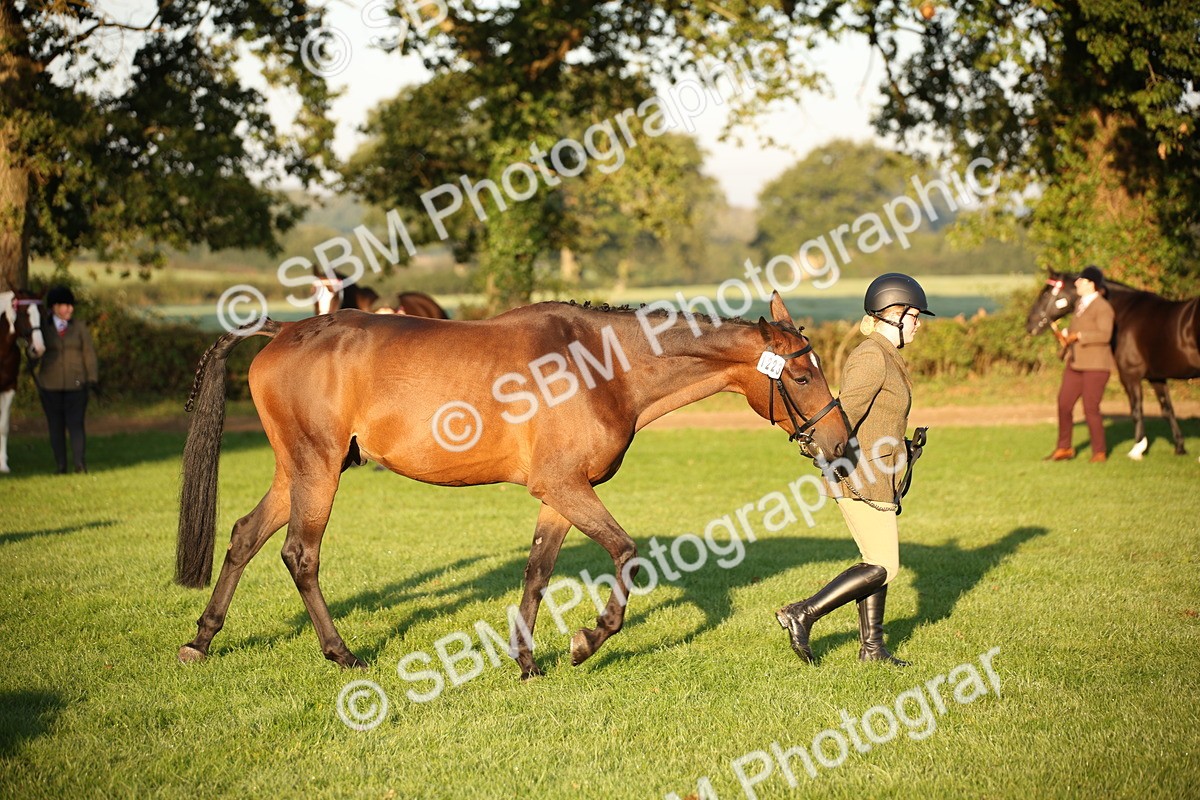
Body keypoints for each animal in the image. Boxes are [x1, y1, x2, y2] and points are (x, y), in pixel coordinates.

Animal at [0, 290, 46, 473]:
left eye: (42, 313)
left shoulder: (9, 387)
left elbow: (3, 426)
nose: (38, 349)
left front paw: (3, 465)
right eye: (22, 313)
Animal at [175, 292, 855, 678]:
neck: (603, 366)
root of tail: (285, 330)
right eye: (800, 376)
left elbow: (536, 573)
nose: (841, 445)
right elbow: (626, 555)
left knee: (245, 537)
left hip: (298, 470)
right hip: (315, 470)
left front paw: (527, 662)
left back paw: (201, 640)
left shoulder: (558, 494)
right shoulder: (567, 487)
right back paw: (341, 653)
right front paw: (585, 641)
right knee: (300, 554)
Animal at [1026, 271, 1200, 459]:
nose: (1029, 324)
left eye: (1045, 293)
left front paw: (1137, 449)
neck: (1125, 312)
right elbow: (1167, 410)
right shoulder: (1157, 377)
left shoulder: (1130, 375)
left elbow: (1136, 410)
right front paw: (1180, 447)